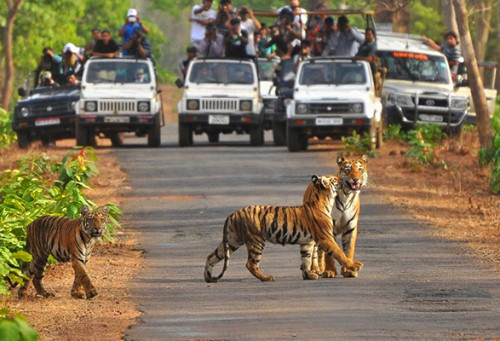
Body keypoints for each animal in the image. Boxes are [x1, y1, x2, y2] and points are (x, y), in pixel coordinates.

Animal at [204, 174, 364, 282]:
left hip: (232, 240)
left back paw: (208, 277)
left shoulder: (307, 242)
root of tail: (233, 213)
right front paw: (354, 266)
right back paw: (266, 277)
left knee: (212, 256)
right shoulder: (326, 238)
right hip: (256, 241)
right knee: (251, 264)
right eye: (334, 179)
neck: (324, 200)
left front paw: (308, 275)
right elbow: (339, 253)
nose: (343, 179)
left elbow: (306, 259)